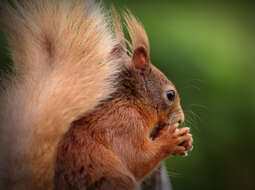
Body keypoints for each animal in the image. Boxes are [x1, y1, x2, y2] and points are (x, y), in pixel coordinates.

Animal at [0, 0, 192, 190]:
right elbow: (136, 159)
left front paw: (186, 140)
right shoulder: (123, 125)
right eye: (170, 94)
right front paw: (171, 140)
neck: (132, 102)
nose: (181, 119)